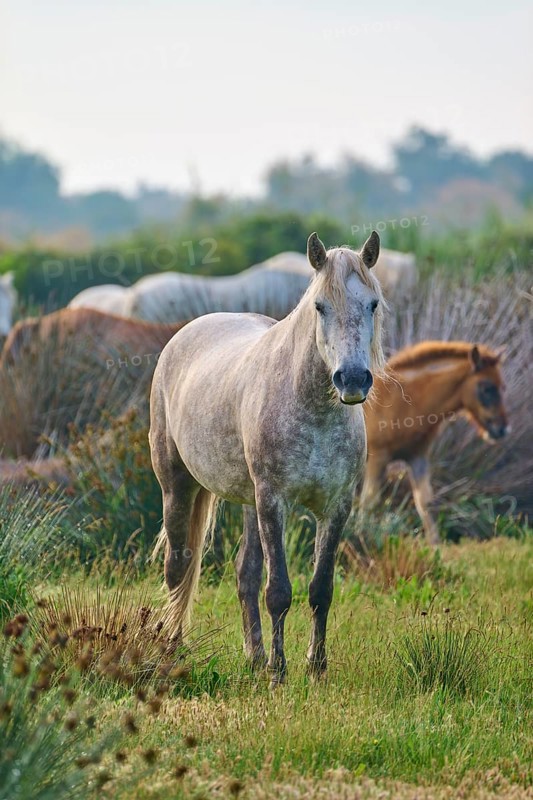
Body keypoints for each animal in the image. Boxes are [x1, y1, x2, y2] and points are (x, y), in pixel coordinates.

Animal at [149, 231, 385, 684]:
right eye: (319, 306)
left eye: (373, 304)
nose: (351, 379)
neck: (314, 410)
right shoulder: (274, 501)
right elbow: (278, 591)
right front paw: (279, 672)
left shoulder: (336, 507)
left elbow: (320, 589)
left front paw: (315, 668)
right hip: (178, 486)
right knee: (178, 568)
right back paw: (172, 649)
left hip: (248, 501)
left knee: (245, 572)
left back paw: (254, 656)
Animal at [361, 341, 509, 543]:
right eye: (486, 388)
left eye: (502, 387)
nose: (502, 429)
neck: (403, 402)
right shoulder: (378, 458)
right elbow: (369, 501)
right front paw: (361, 538)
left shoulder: (417, 458)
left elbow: (425, 503)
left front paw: (434, 546)